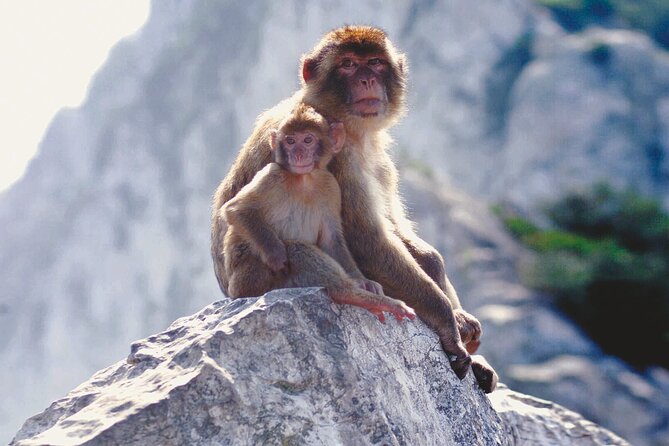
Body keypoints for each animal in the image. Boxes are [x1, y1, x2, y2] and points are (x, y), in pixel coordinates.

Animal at [222, 103, 414, 322]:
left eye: (308, 140)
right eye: (290, 141)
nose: (298, 154)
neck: (304, 180)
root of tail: (232, 293)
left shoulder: (331, 186)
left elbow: (331, 240)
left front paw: (362, 280)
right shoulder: (271, 176)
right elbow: (236, 210)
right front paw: (276, 255)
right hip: (249, 281)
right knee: (294, 249)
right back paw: (354, 295)